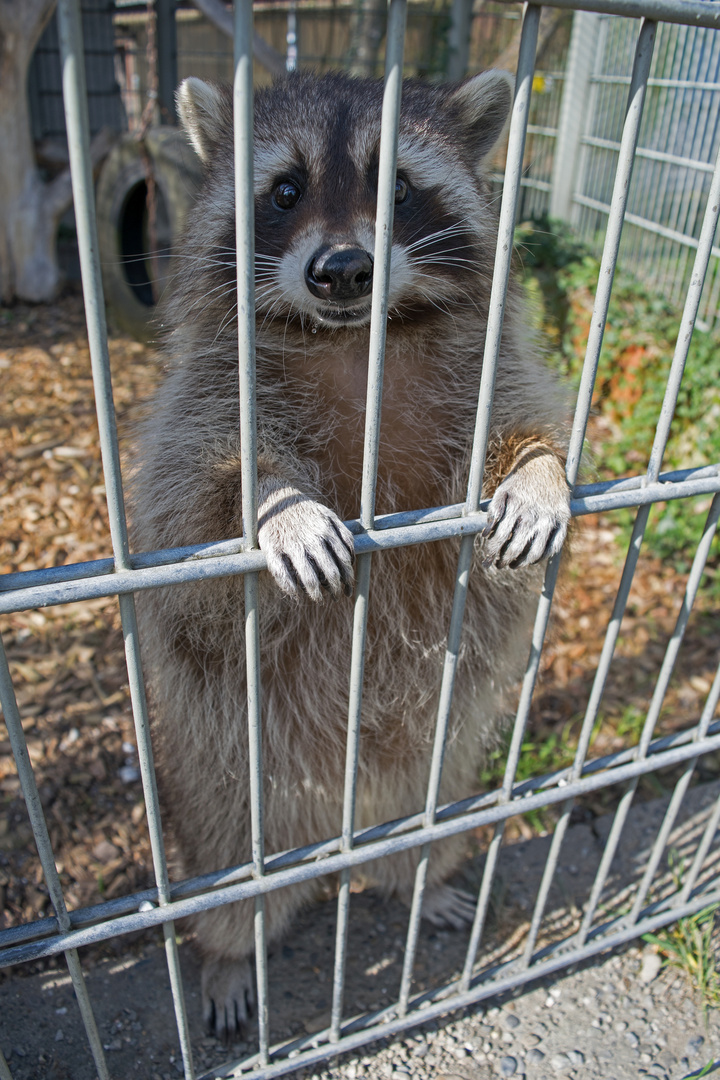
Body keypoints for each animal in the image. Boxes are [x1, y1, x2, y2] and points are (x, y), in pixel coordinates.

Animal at [132, 67, 569, 1036]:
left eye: (396, 187)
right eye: (285, 190)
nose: (340, 271)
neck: (353, 338)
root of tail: (337, 832)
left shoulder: (486, 368)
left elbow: (523, 422)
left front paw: (540, 471)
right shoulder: (205, 401)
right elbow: (192, 516)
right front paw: (276, 505)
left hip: (430, 773)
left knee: (419, 829)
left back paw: (417, 881)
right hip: (229, 789)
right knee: (234, 886)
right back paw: (228, 956)